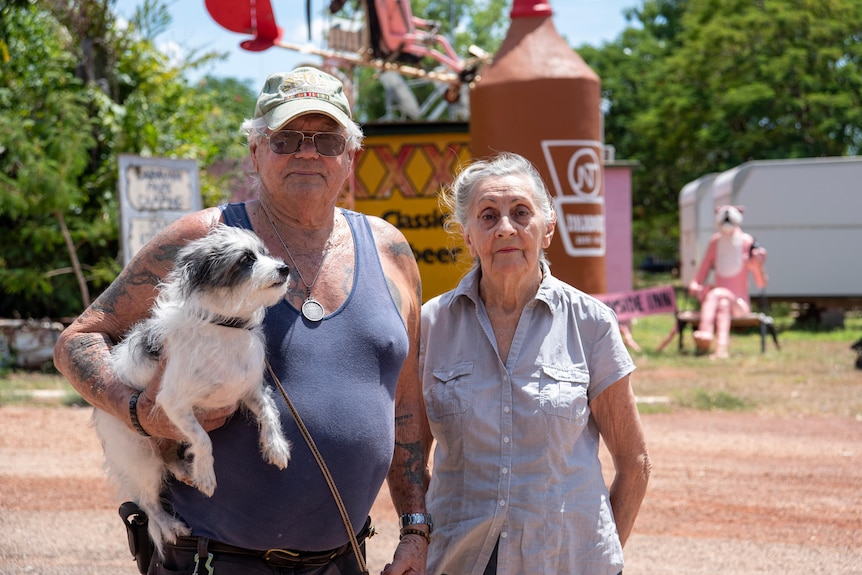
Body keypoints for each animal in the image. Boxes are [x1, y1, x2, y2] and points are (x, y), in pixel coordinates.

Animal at [92, 225, 294, 560]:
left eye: (265, 253)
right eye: (247, 259)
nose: (284, 268)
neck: (226, 326)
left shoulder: (247, 390)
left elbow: (268, 411)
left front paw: (276, 447)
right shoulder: (171, 403)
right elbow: (203, 439)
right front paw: (207, 474)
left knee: (169, 457)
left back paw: (187, 471)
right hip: (141, 456)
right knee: (149, 501)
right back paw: (169, 521)